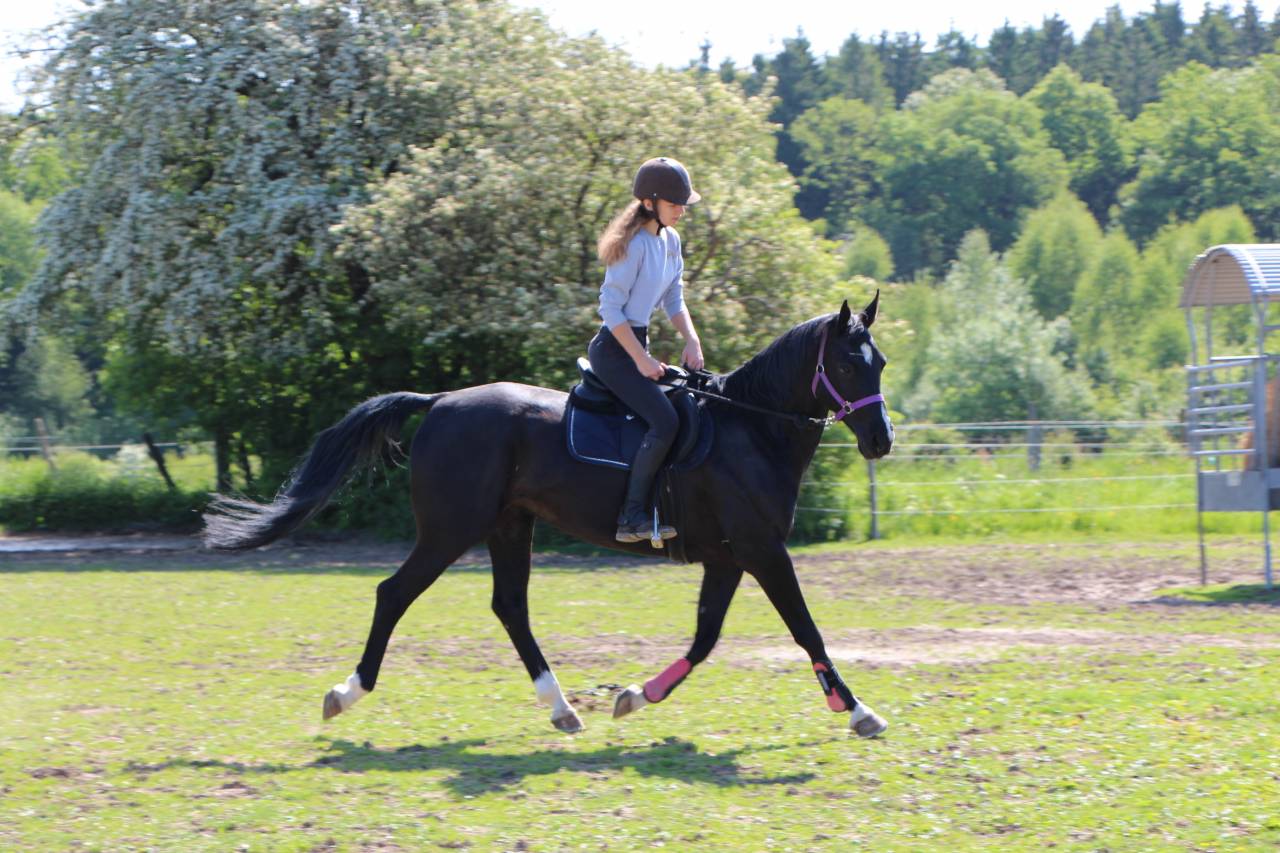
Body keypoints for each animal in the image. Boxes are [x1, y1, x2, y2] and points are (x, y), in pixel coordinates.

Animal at [203, 295, 895, 737]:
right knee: (394, 593)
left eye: (880, 363)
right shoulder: (761, 551)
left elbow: (705, 638)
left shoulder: (728, 559)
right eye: (845, 363)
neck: (750, 431)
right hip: (451, 530)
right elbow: (806, 629)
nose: (881, 440)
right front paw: (858, 711)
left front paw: (637, 696)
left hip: (509, 525)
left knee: (509, 607)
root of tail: (441, 401)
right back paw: (348, 693)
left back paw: (561, 707)